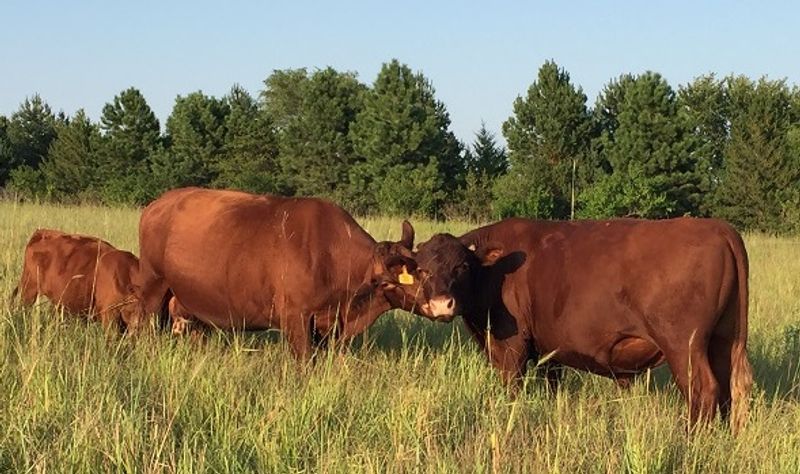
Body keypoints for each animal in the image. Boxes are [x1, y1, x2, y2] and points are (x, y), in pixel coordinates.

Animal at [410, 217, 753, 433]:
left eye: (462, 266)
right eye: (423, 269)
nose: (440, 305)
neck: (496, 270)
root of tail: (719, 228)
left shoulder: (511, 347)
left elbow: (512, 388)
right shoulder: (548, 350)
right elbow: (552, 385)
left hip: (684, 345)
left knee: (703, 391)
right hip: (722, 340)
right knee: (726, 391)